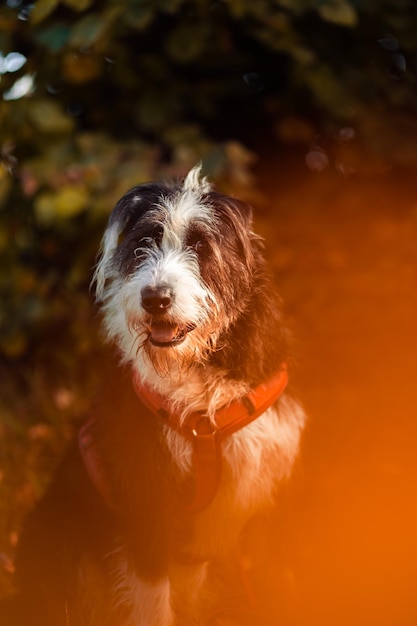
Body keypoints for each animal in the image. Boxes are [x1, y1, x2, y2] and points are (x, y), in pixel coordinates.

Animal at [5, 166, 306, 624]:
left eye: (200, 246)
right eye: (143, 242)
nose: (155, 298)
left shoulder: (268, 504)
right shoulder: (148, 509)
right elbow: (153, 604)